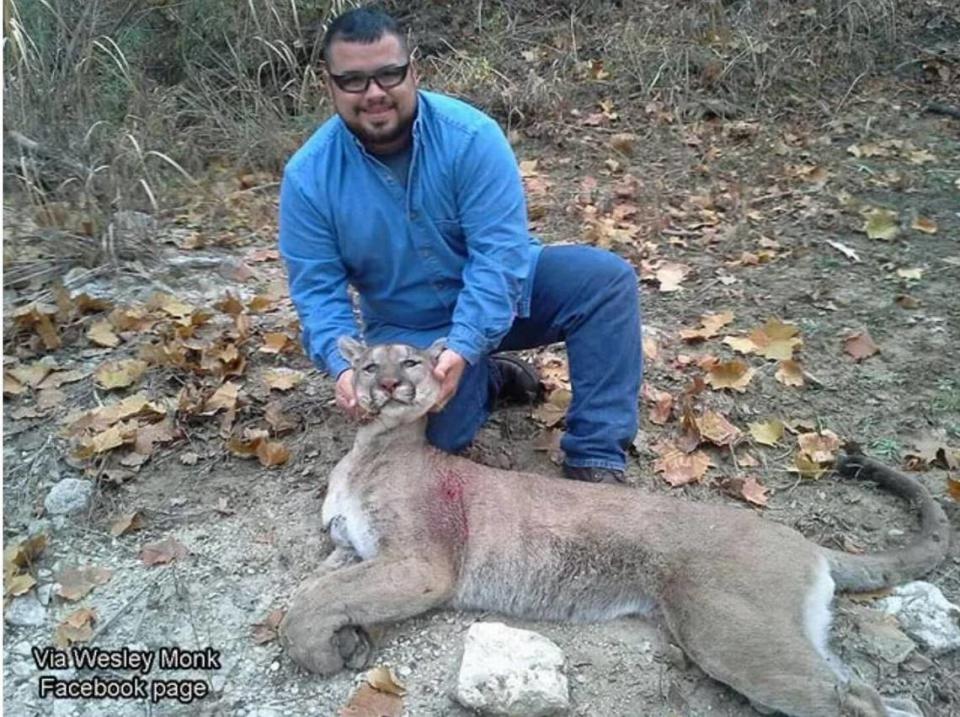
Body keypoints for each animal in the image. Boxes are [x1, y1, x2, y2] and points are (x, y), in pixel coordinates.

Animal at [280, 338, 952, 712]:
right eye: (368, 366)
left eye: (410, 361)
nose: (391, 383)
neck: (374, 444)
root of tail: (796, 536)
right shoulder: (355, 549)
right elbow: (321, 584)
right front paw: (348, 637)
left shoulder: (422, 563)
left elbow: (312, 599)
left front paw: (318, 649)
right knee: (879, 697)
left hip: (731, 632)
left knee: (853, 698)